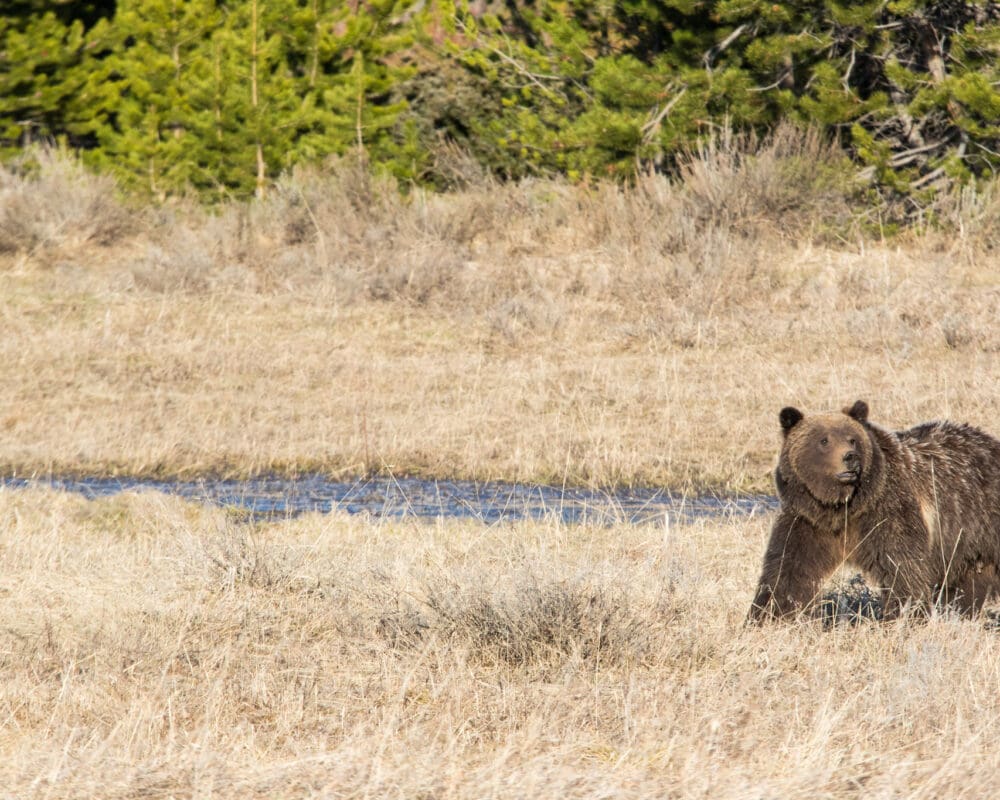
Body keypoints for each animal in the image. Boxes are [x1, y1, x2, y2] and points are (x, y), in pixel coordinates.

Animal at [747, 400, 1000, 622]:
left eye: (852, 439)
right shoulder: (808, 520)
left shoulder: (888, 511)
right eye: (824, 440)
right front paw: (767, 616)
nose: (850, 457)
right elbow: (788, 570)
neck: (842, 507)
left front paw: (905, 617)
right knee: (969, 587)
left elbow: (903, 567)